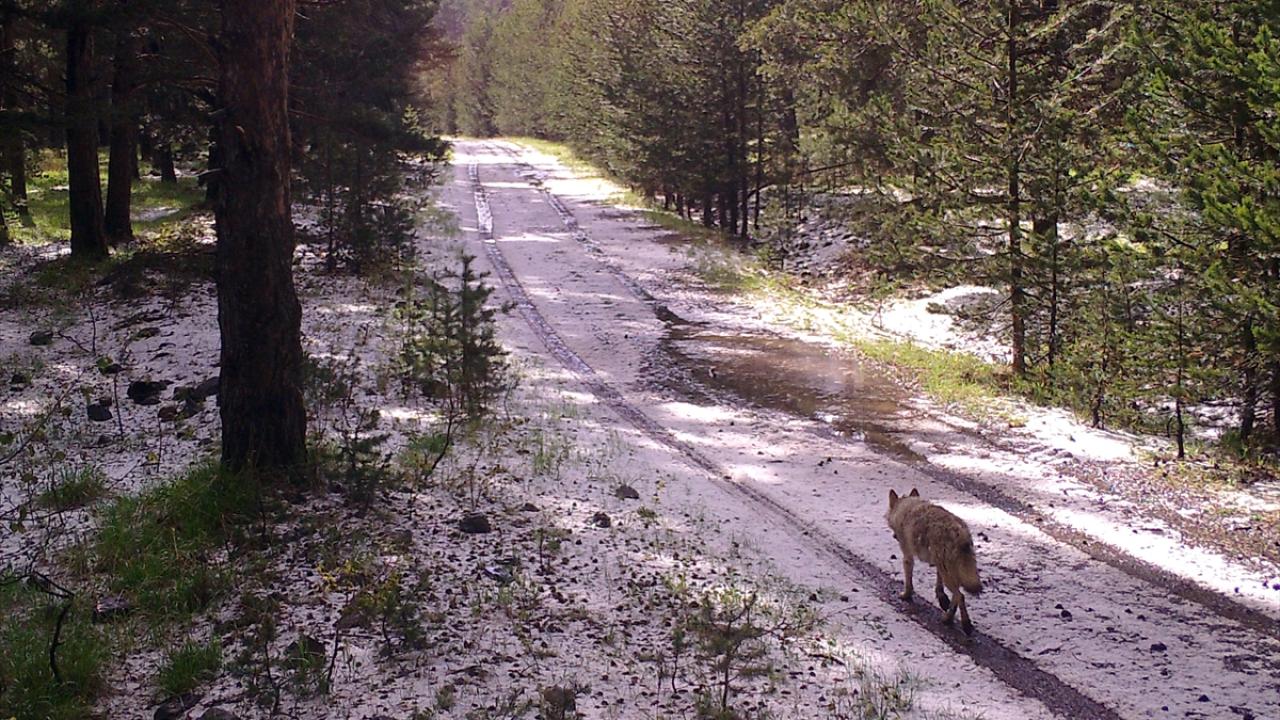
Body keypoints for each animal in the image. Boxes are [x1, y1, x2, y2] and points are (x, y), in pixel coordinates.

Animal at [885, 488, 983, 635]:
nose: (894, 536)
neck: (906, 508)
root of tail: (960, 534)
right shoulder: (939, 565)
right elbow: (938, 584)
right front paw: (942, 599)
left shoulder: (908, 557)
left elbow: (908, 581)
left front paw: (906, 595)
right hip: (953, 572)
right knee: (957, 596)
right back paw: (950, 618)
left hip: (950, 575)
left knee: (960, 596)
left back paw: (961, 623)